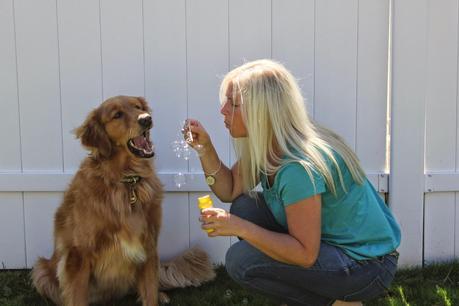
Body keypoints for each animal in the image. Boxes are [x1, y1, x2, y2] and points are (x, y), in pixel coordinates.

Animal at [32, 96, 216, 306]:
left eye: (138, 107)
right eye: (117, 115)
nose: (146, 119)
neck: (128, 182)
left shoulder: (148, 246)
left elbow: (150, 294)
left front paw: (155, 296)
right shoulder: (78, 256)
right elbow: (77, 297)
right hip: (41, 270)